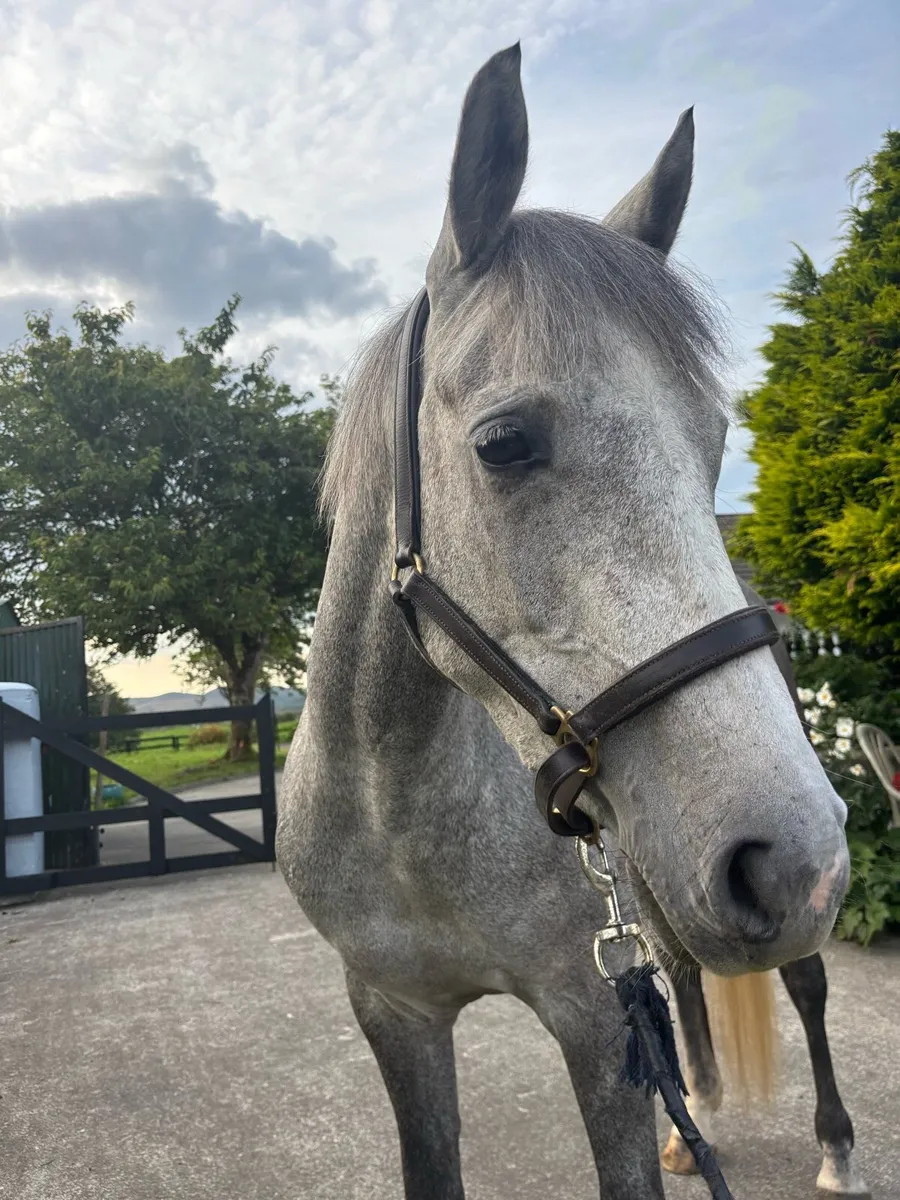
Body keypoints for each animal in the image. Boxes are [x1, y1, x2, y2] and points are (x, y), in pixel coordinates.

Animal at [276, 43, 850, 1198]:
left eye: (716, 444)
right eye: (505, 444)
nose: (794, 861)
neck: (402, 808)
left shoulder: (590, 1016)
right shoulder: (393, 1011)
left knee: (804, 989)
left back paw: (832, 1146)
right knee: (682, 971)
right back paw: (694, 1120)